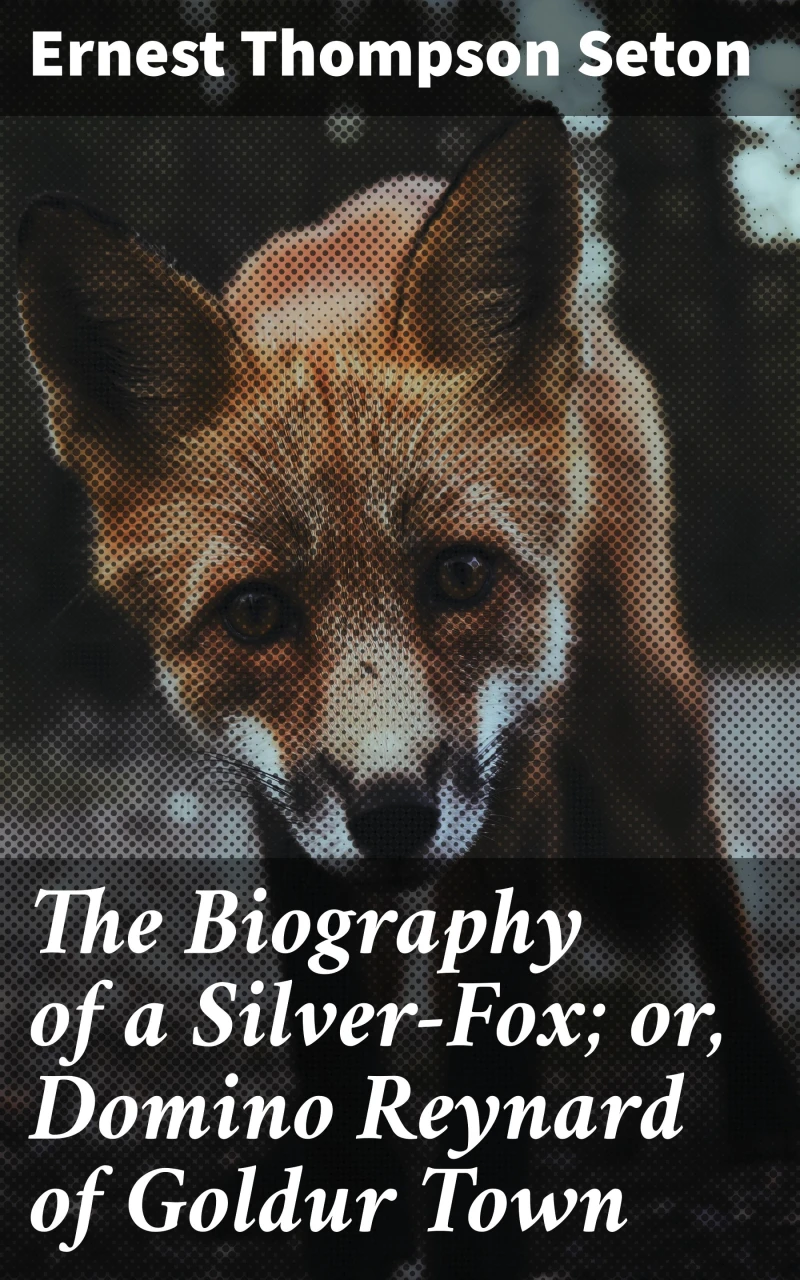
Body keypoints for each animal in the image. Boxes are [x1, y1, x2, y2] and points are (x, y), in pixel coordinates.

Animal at [18, 116, 796, 1277]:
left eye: (460, 576)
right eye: (257, 613)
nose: (392, 818)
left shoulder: (511, 779)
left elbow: (489, 1053)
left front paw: (484, 1235)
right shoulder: (286, 811)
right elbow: (334, 1055)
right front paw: (352, 1219)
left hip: (637, 705)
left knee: (699, 849)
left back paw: (758, 1090)